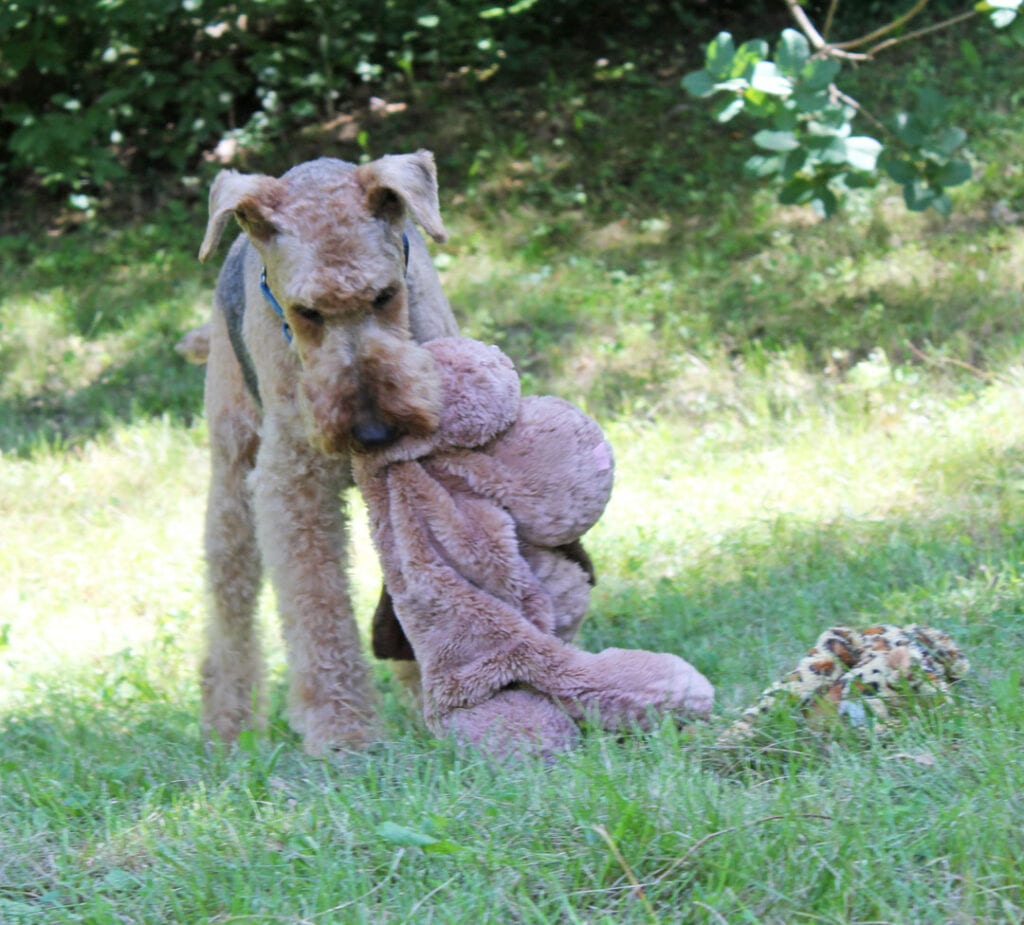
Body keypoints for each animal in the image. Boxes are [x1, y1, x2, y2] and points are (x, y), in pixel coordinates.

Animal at [194, 151, 456, 758]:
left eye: (385, 294)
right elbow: (316, 608)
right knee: (230, 600)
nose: (374, 431)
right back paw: (228, 725)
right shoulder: (295, 485)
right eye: (305, 311)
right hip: (233, 476)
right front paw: (343, 731)